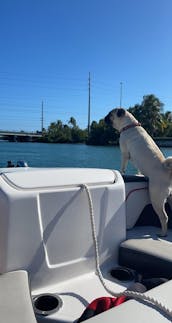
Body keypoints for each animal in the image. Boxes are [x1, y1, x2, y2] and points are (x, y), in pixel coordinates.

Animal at [104, 107, 172, 237]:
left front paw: (122, 173)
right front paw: (139, 174)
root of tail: (166, 171)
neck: (129, 125)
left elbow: (123, 166)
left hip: (156, 198)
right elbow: (138, 169)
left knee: (164, 217)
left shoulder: (125, 154)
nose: (104, 117)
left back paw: (163, 233)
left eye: (110, 115)